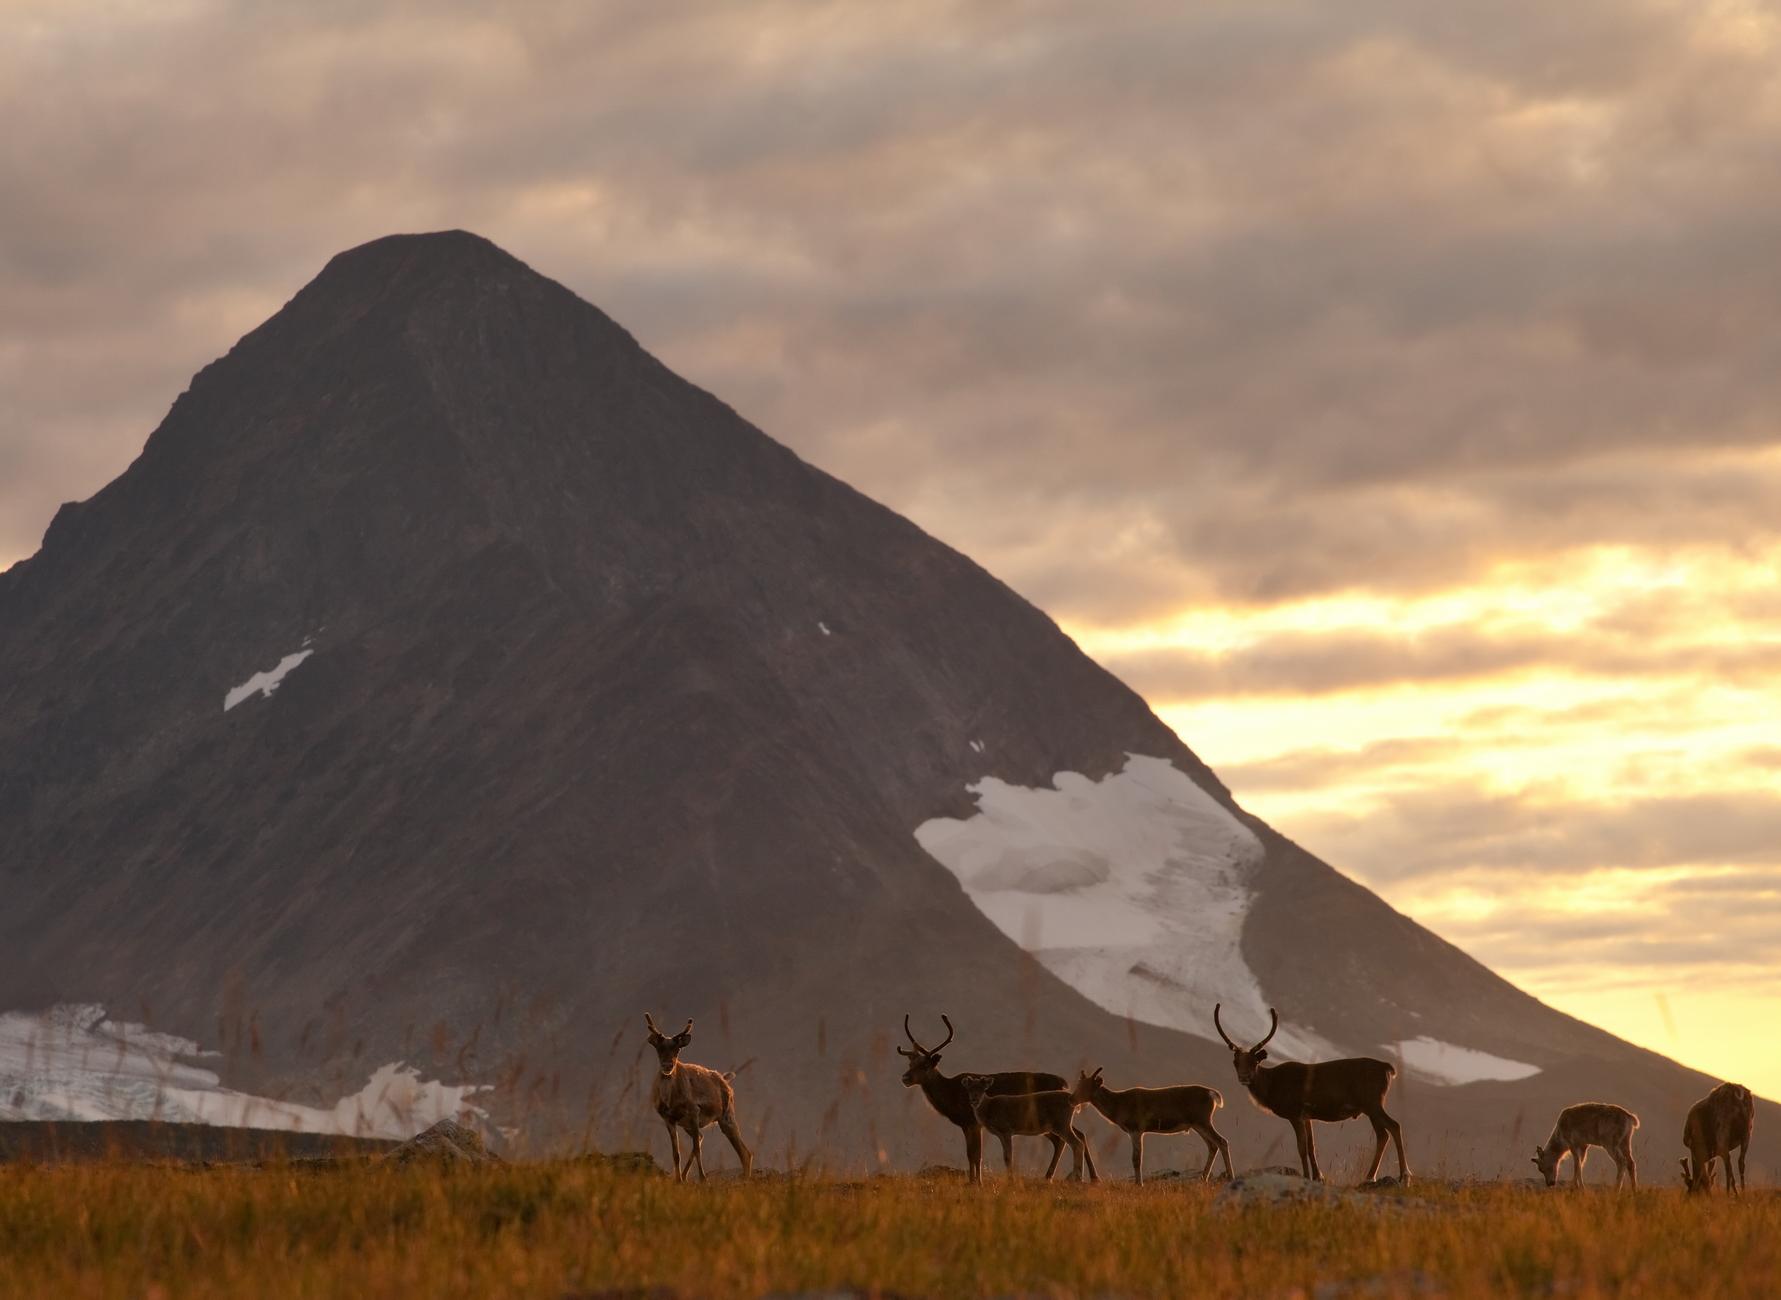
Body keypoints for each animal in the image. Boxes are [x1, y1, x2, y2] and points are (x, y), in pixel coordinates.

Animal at [644, 1004, 748, 1182]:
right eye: (659, 1048)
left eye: (677, 1050)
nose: (667, 1066)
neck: (670, 1099)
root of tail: (726, 1081)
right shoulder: (668, 1118)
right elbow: (676, 1153)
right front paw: (678, 1180)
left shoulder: (694, 1110)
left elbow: (697, 1150)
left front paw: (703, 1179)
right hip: (691, 1124)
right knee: (701, 1138)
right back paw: (685, 1176)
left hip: (726, 1115)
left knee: (744, 1151)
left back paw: (746, 1178)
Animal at [961, 1068, 1097, 1182]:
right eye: (969, 1089)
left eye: (982, 1089)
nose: (974, 1100)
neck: (989, 1109)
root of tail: (1072, 1101)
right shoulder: (1001, 1133)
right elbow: (1005, 1157)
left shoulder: (1006, 1129)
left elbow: (1008, 1157)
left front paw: (1011, 1180)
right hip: (1059, 1125)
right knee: (1072, 1142)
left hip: (1062, 1123)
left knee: (1077, 1143)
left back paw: (1078, 1178)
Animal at [1075, 1061, 1232, 1182]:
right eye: (1078, 1085)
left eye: (1087, 1087)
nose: (1072, 1099)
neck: (1119, 1105)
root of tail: (1212, 1094)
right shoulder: (1135, 1131)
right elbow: (1136, 1158)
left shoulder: (1136, 1128)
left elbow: (1136, 1159)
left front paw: (1139, 1184)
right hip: (1197, 1124)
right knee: (1212, 1145)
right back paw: (1203, 1178)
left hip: (1203, 1120)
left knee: (1222, 1141)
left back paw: (1229, 1177)